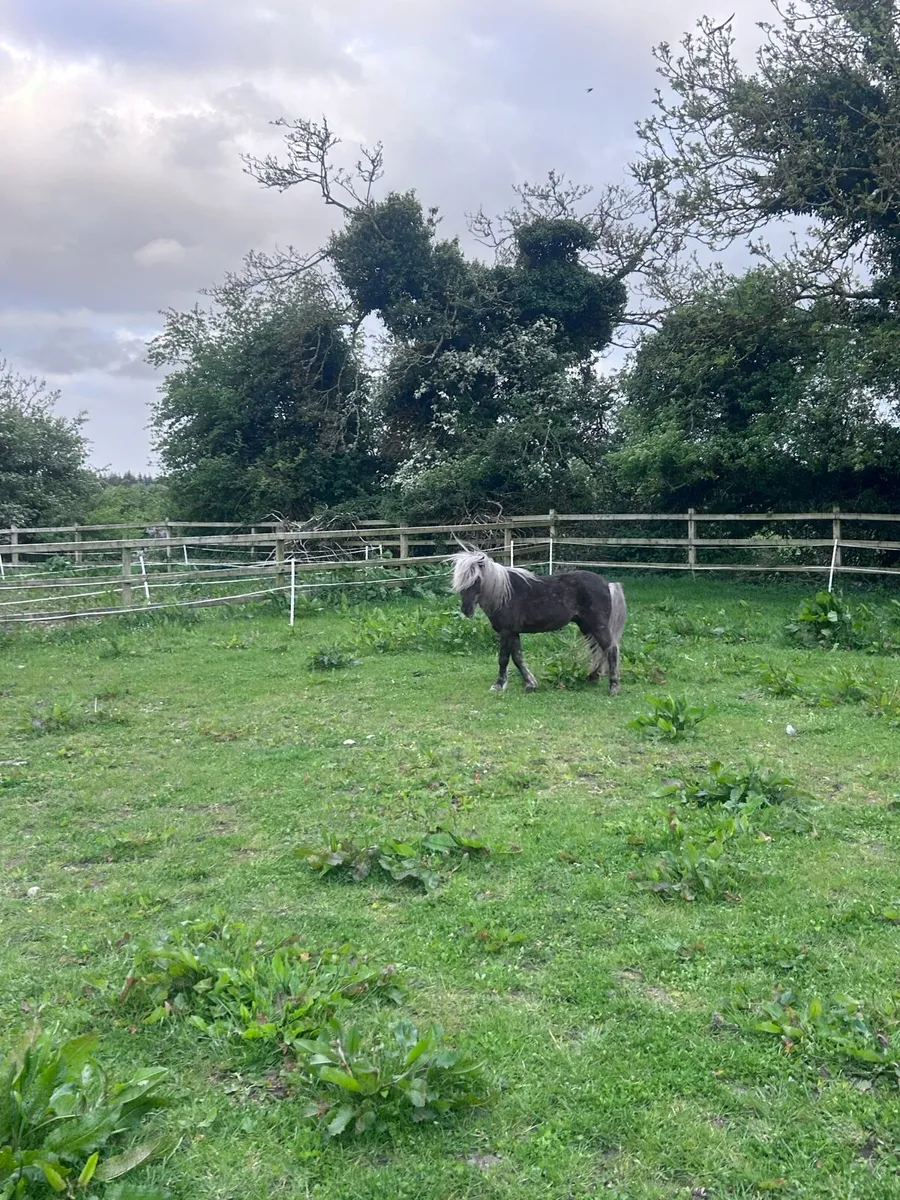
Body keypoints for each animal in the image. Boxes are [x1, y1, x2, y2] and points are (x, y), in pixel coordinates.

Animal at [450, 550, 627, 695]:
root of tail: (607, 584)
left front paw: (499, 685)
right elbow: (518, 658)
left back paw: (613, 687)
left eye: (477, 579)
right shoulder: (513, 633)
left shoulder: (506, 632)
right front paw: (530, 684)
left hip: (598, 625)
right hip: (586, 626)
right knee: (597, 650)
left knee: (611, 649)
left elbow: (504, 659)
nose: (466, 609)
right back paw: (593, 678)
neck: (504, 594)